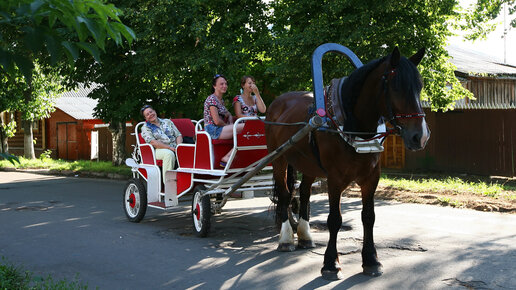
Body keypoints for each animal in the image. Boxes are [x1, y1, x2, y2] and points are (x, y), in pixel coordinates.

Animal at [264, 46, 430, 280]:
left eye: (419, 86)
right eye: (396, 87)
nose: (420, 136)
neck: (353, 125)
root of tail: (278, 103)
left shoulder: (371, 178)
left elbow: (369, 217)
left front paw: (371, 260)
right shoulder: (335, 180)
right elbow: (334, 219)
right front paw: (331, 264)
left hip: (308, 165)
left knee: (304, 193)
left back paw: (305, 236)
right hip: (278, 158)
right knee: (286, 194)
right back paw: (286, 238)